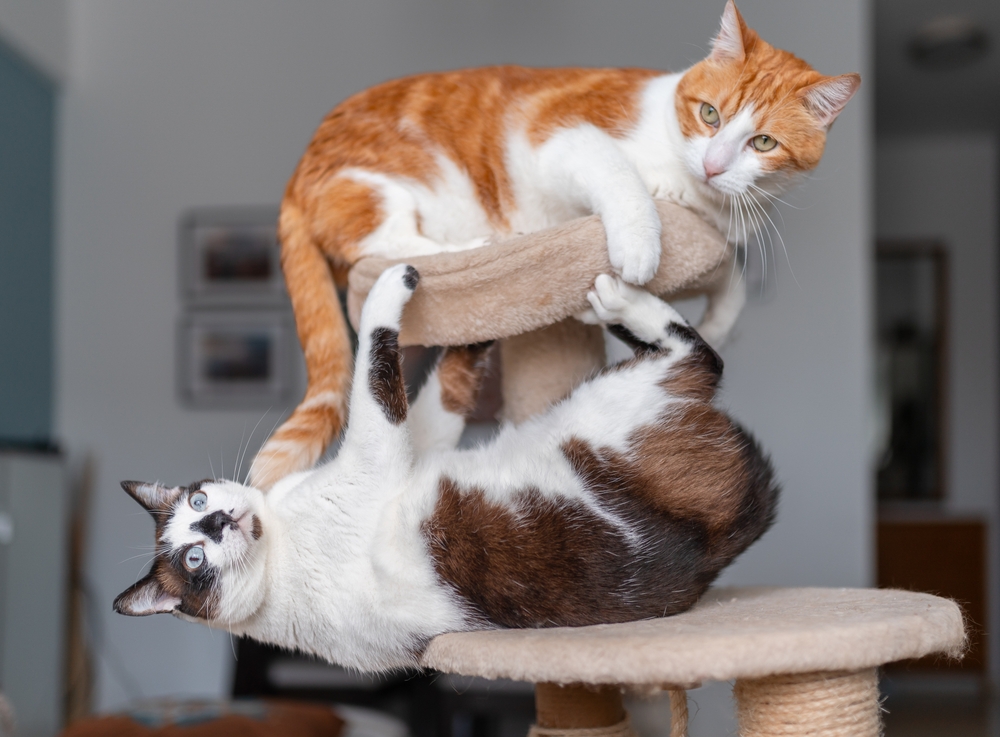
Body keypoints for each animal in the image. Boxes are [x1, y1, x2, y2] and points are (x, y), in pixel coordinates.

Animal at [115, 264, 772, 672]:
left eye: (198, 502)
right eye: (194, 560)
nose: (219, 521)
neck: (279, 531)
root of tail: (734, 533)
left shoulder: (415, 450)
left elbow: (439, 392)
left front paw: (473, 327)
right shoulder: (377, 450)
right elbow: (374, 369)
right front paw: (392, 282)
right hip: (611, 406)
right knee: (695, 355)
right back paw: (619, 300)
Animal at [246, 4, 856, 494]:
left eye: (763, 142)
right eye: (710, 114)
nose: (713, 164)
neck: (693, 191)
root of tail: (294, 177)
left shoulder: (712, 235)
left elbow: (732, 284)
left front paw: (713, 324)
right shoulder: (562, 136)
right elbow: (621, 178)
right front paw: (638, 242)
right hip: (378, 186)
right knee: (389, 245)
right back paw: (485, 243)